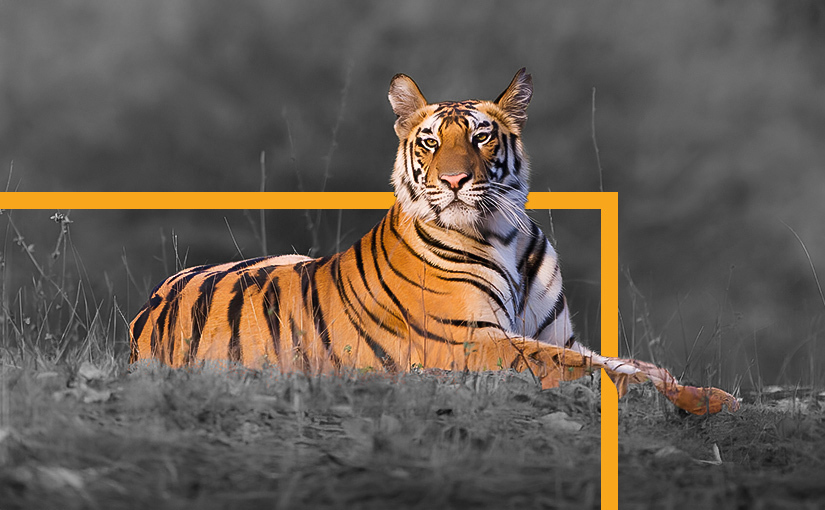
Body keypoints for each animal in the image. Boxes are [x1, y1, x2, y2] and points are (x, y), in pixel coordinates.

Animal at [129, 69, 739, 415]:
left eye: (482, 136)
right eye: (428, 141)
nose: (454, 180)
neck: (505, 234)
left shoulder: (555, 334)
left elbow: (625, 360)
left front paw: (698, 391)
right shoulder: (473, 341)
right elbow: (593, 368)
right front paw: (696, 399)